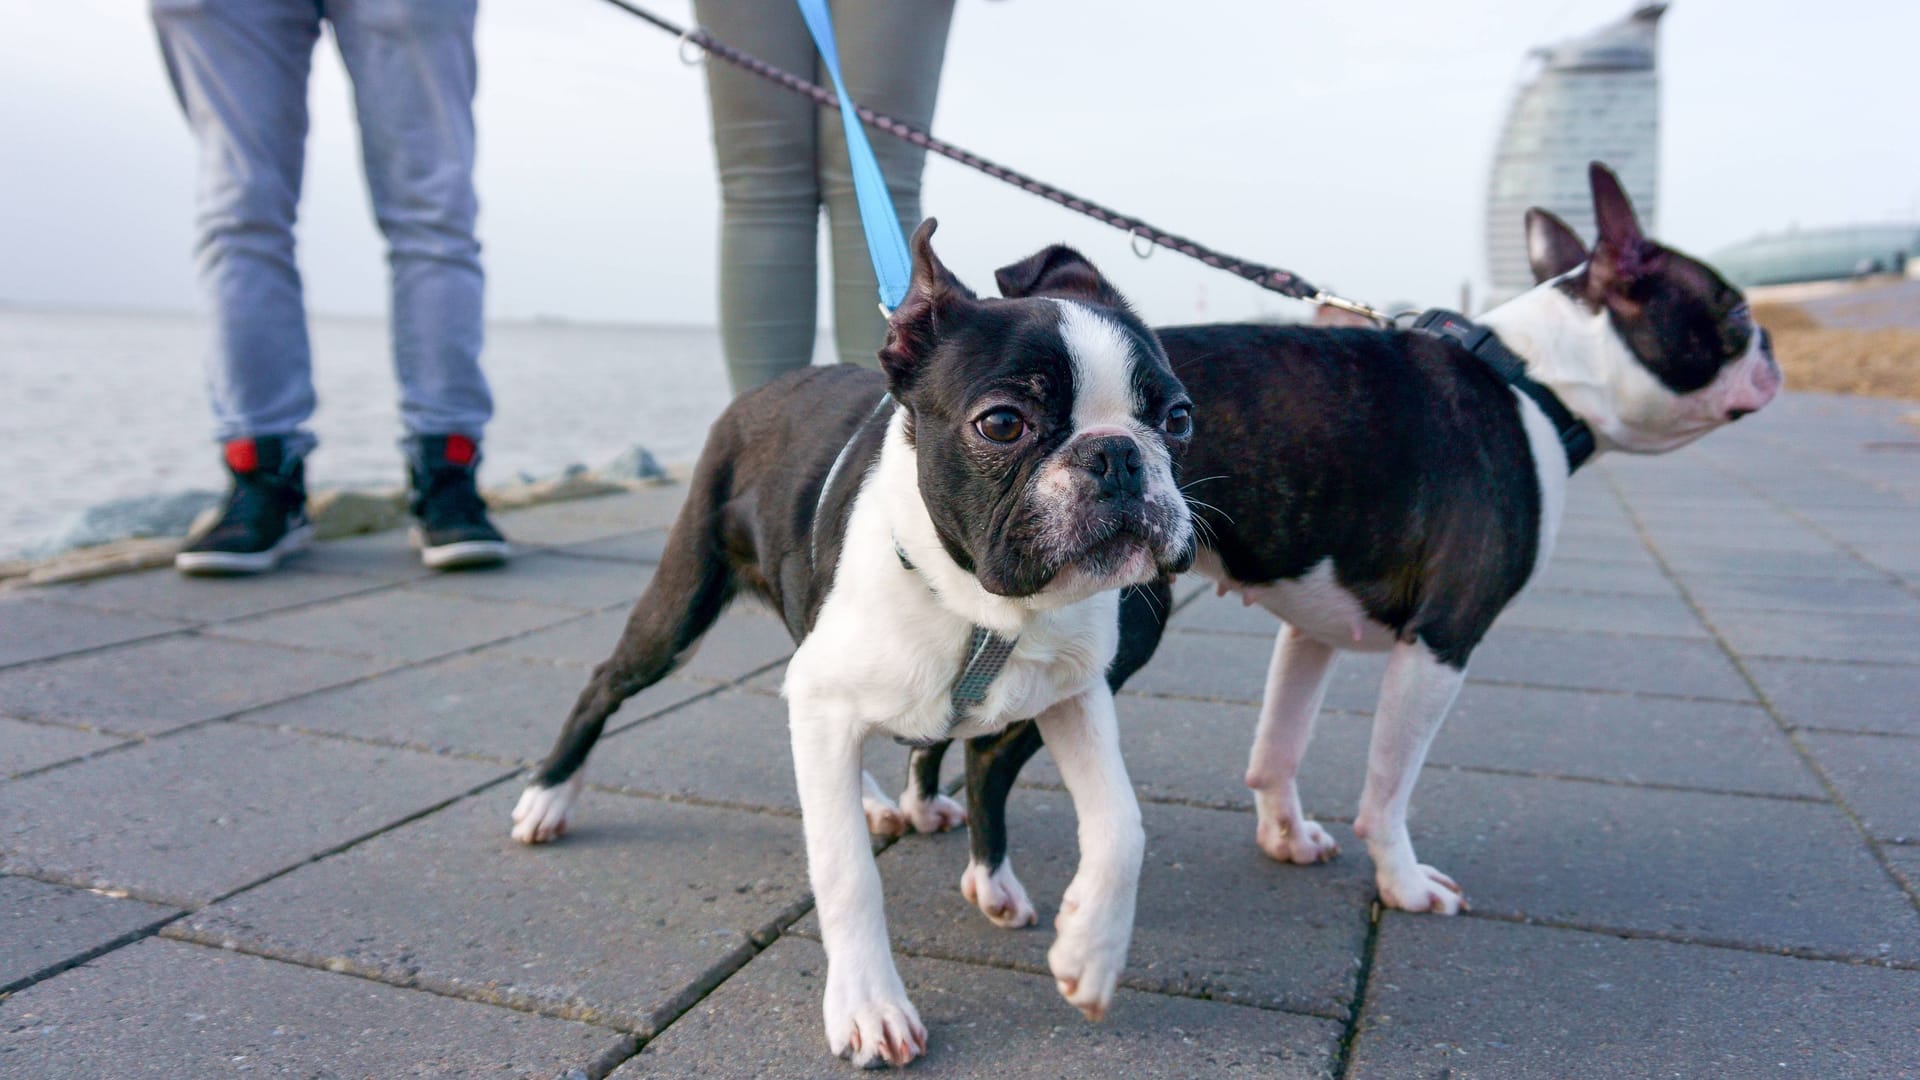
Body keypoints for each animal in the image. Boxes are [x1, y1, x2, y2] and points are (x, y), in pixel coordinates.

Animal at [518, 222, 1190, 1060]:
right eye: (1002, 423)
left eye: (1178, 419)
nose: (1118, 453)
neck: (986, 609)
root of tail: (770, 388)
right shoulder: (826, 699)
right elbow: (845, 872)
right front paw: (870, 1005)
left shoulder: (1075, 693)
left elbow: (1120, 825)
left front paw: (1089, 955)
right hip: (678, 614)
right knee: (607, 680)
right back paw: (548, 796)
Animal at [902, 161, 1781, 926]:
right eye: (1735, 319)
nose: (1771, 344)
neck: (1534, 377)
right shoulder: (1443, 641)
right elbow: (1388, 789)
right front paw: (1405, 883)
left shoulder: (1310, 628)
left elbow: (1279, 745)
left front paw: (1285, 836)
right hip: (1127, 626)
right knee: (989, 752)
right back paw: (992, 885)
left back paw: (918, 806)